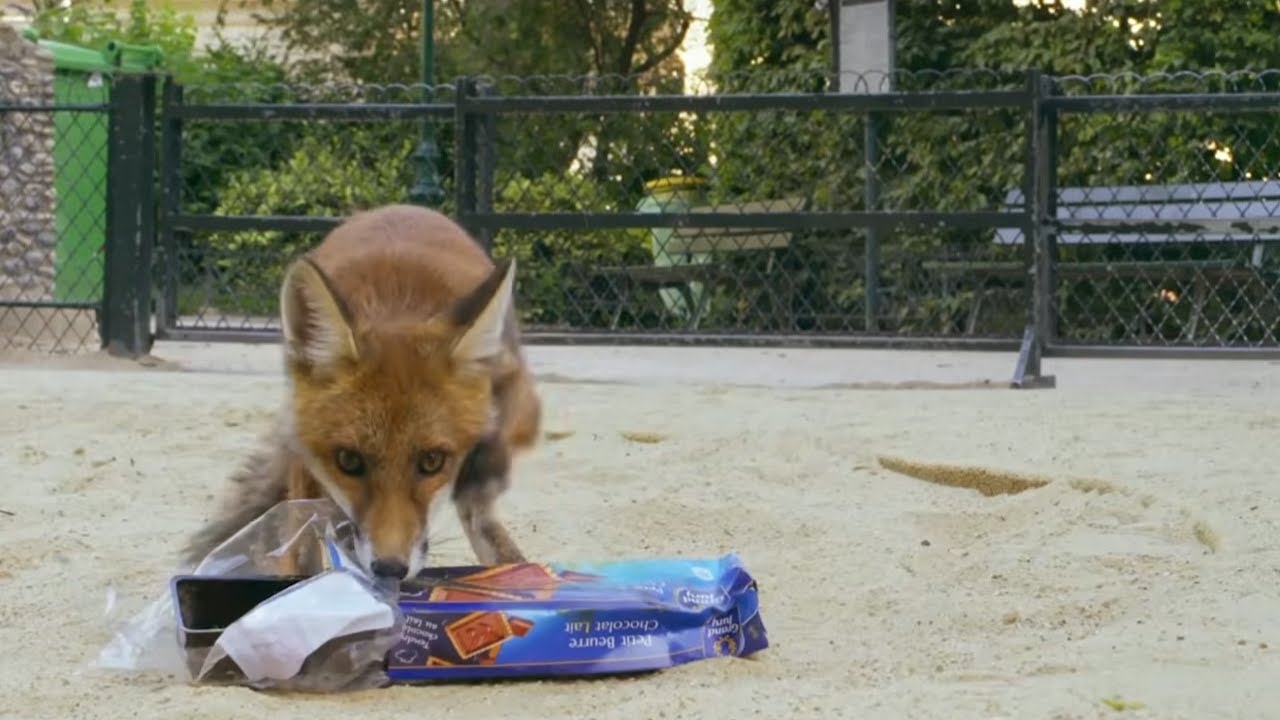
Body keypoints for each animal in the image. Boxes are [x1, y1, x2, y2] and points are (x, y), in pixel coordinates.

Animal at [180, 204, 542, 581]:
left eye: (432, 461)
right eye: (348, 460)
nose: (390, 569)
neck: (398, 300)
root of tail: (400, 207)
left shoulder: (515, 386)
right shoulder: (306, 452)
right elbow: (303, 539)